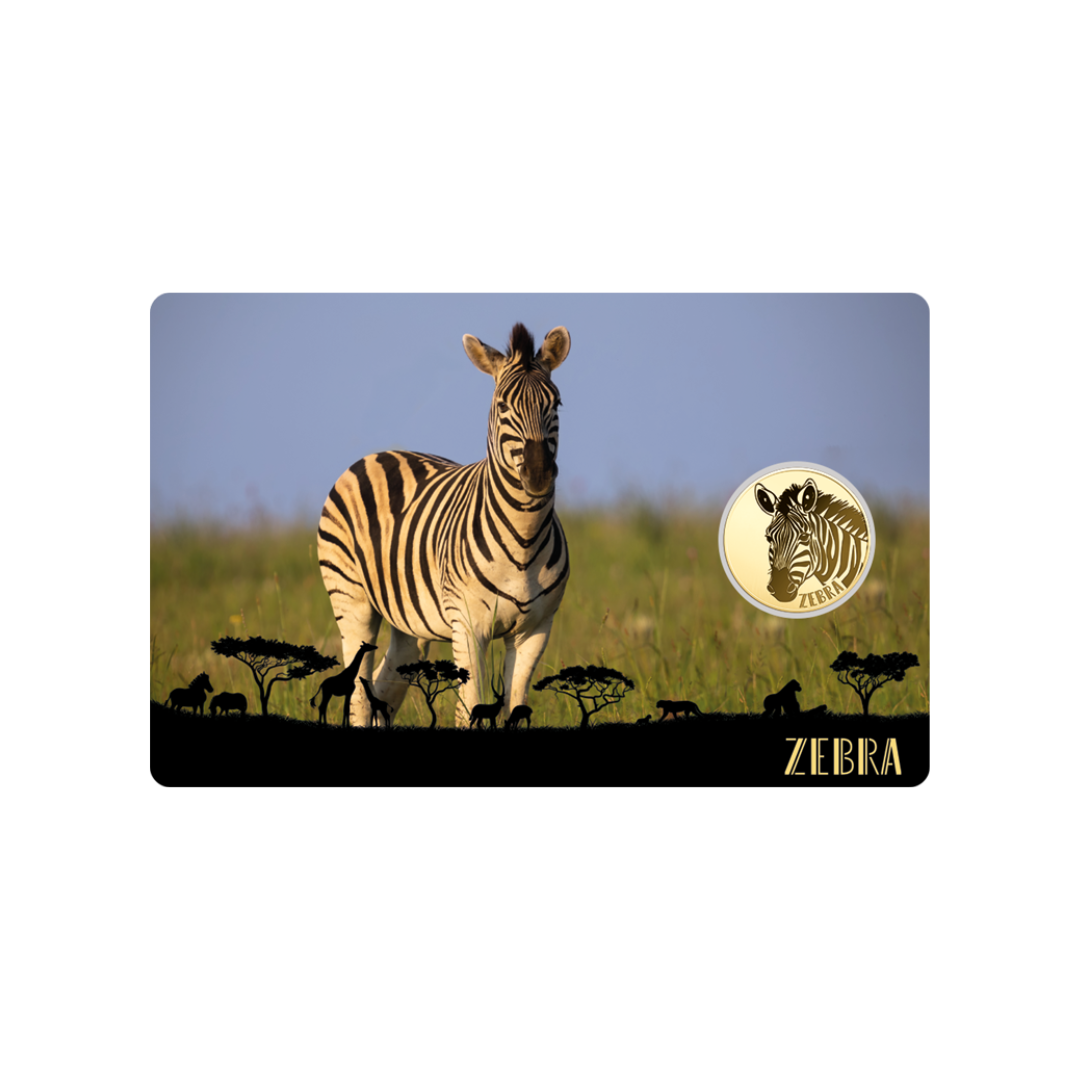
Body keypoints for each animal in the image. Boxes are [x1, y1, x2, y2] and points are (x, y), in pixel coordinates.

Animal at [317, 323, 571, 728]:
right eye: (502, 406)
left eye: (556, 403)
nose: (538, 474)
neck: (525, 540)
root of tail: (377, 454)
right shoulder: (467, 626)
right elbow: (469, 709)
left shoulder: (535, 630)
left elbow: (516, 704)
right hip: (351, 600)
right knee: (358, 694)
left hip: (408, 626)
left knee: (383, 688)